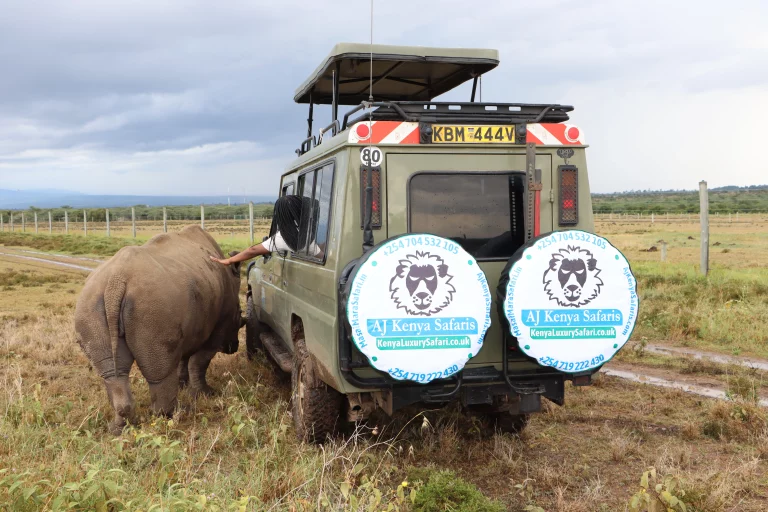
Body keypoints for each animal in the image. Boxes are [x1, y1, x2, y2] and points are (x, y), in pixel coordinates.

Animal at [75, 225, 243, 433]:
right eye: (240, 318)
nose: (234, 346)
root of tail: (116, 281)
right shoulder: (218, 327)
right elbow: (199, 361)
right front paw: (206, 394)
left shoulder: (191, 324)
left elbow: (184, 359)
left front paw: (183, 384)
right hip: (153, 304)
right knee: (159, 370)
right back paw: (176, 415)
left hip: (89, 303)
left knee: (114, 373)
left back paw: (120, 428)